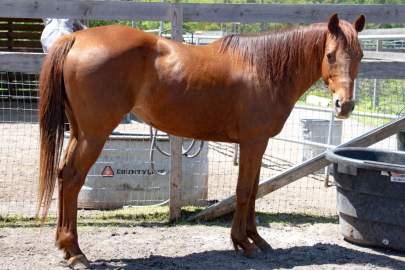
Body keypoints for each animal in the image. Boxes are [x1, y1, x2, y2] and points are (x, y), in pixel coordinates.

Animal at [38, 13, 364, 266]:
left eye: (359, 55)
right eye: (330, 55)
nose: (344, 105)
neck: (263, 68)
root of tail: (76, 39)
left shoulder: (259, 144)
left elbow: (254, 190)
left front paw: (257, 239)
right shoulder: (253, 142)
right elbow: (244, 191)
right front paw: (242, 242)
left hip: (78, 132)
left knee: (63, 175)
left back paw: (65, 247)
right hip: (94, 135)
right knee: (73, 178)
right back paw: (76, 253)